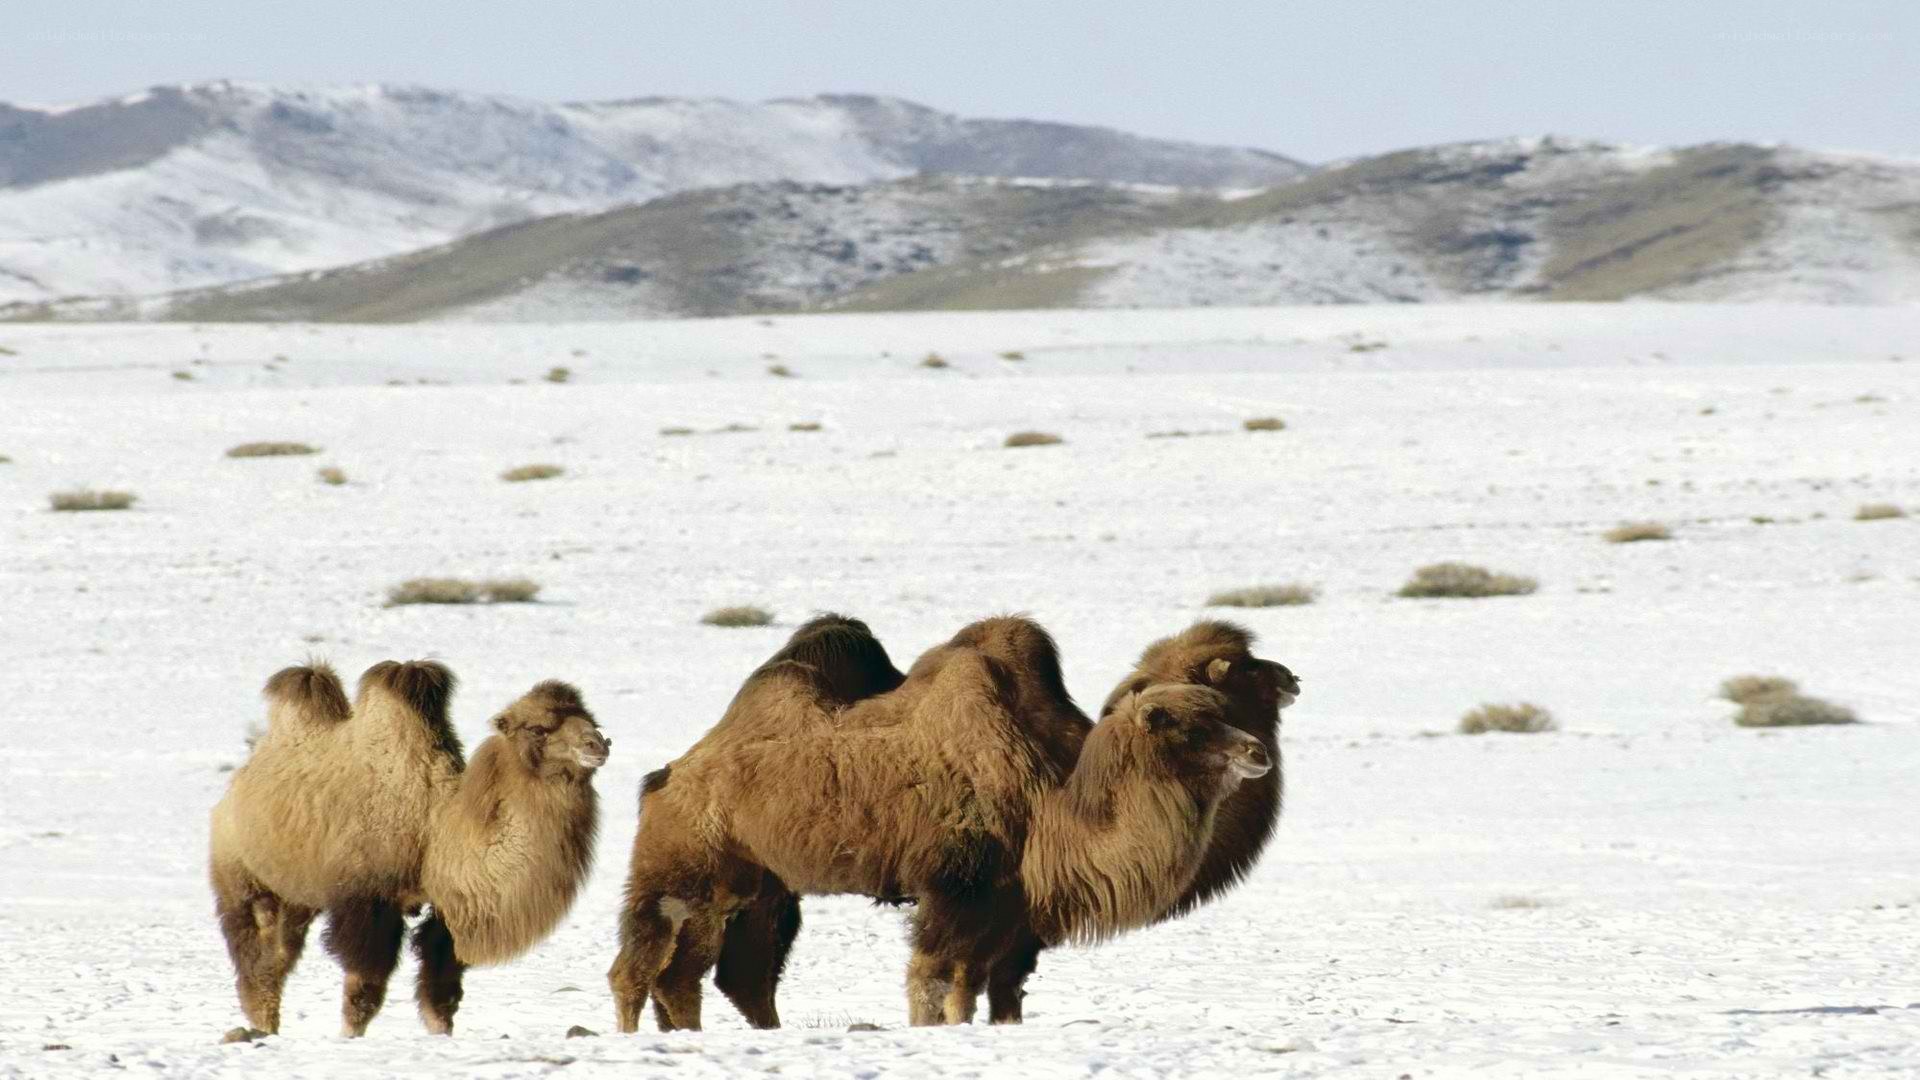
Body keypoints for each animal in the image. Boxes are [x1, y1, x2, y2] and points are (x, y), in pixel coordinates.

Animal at [208, 659, 608, 1037]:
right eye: (538, 728)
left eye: (592, 721)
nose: (598, 745)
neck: (433, 830)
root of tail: (237, 784)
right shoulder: (369, 900)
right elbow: (364, 987)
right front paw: (349, 1037)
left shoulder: (450, 909)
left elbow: (441, 988)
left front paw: (441, 1035)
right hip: (240, 874)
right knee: (255, 952)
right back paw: (261, 1024)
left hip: (297, 894)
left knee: (278, 954)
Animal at [607, 616, 1271, 1030]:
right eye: (1186, 724)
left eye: (1222, 711)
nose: (1256, 751)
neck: (1048, 804)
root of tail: (666, 775)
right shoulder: (956, 886)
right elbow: (931, 978)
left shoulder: (1004, 904)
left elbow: (975, 986)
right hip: (683, 866)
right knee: (641, 968)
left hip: (758, 887)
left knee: (719, 975)